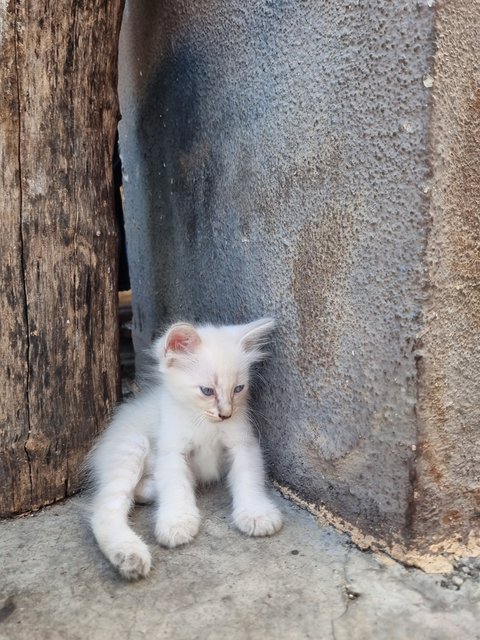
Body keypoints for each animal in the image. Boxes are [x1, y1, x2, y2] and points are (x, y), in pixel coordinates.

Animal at [86, 318, 282, 580]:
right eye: (207, 391)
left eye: (238, 389)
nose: (226, 414)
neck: (205, 422)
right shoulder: (172, 450)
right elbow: (176, 486)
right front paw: (177, 521)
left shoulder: (243, 444)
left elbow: (248, 478)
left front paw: (256, 513)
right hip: (131, 447)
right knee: (104, 512)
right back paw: (129, 556)